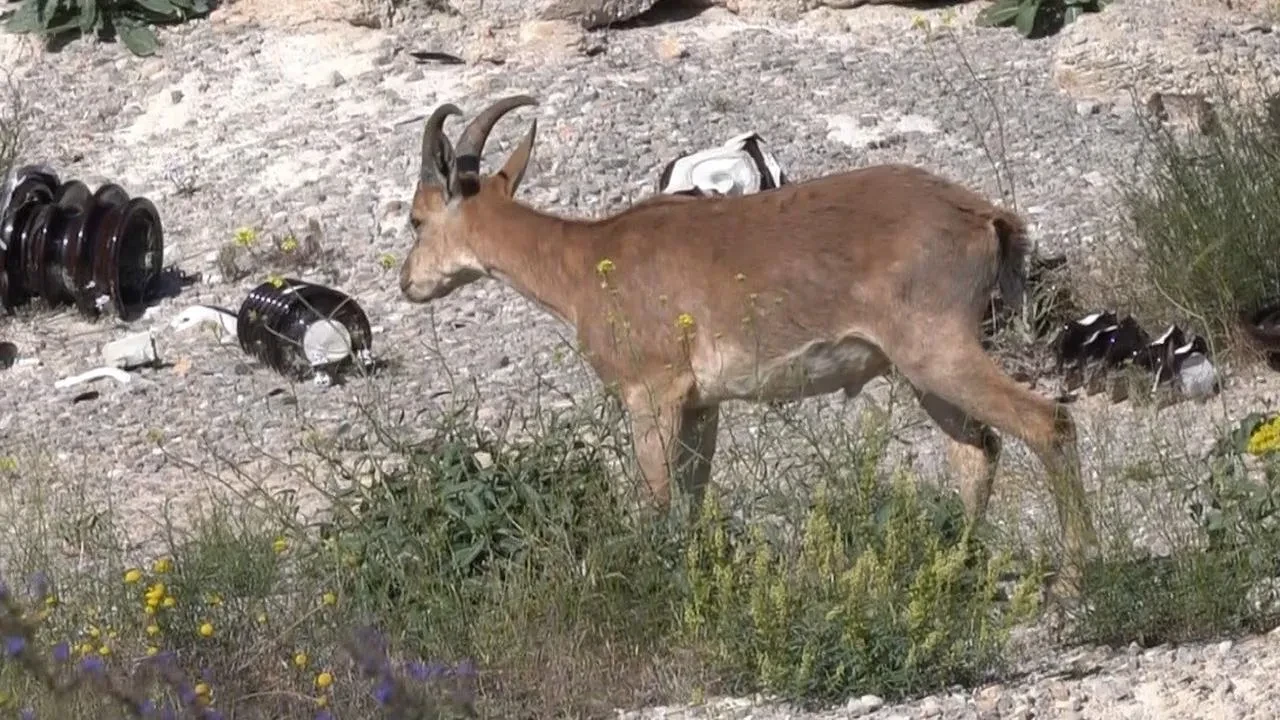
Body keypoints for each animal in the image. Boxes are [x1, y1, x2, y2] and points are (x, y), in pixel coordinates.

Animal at [398, 95, 1099, 591]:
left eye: (414, 218)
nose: (409, 283)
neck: (583, 262)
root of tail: (988, 218)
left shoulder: (650, 391)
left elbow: (657, 500)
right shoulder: (701, 404)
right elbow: (691, 499)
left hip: (937, 349)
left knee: (1048, 424)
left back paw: (1073, 578)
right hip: (921, 370)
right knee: (977, 452)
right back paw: (953, 571)